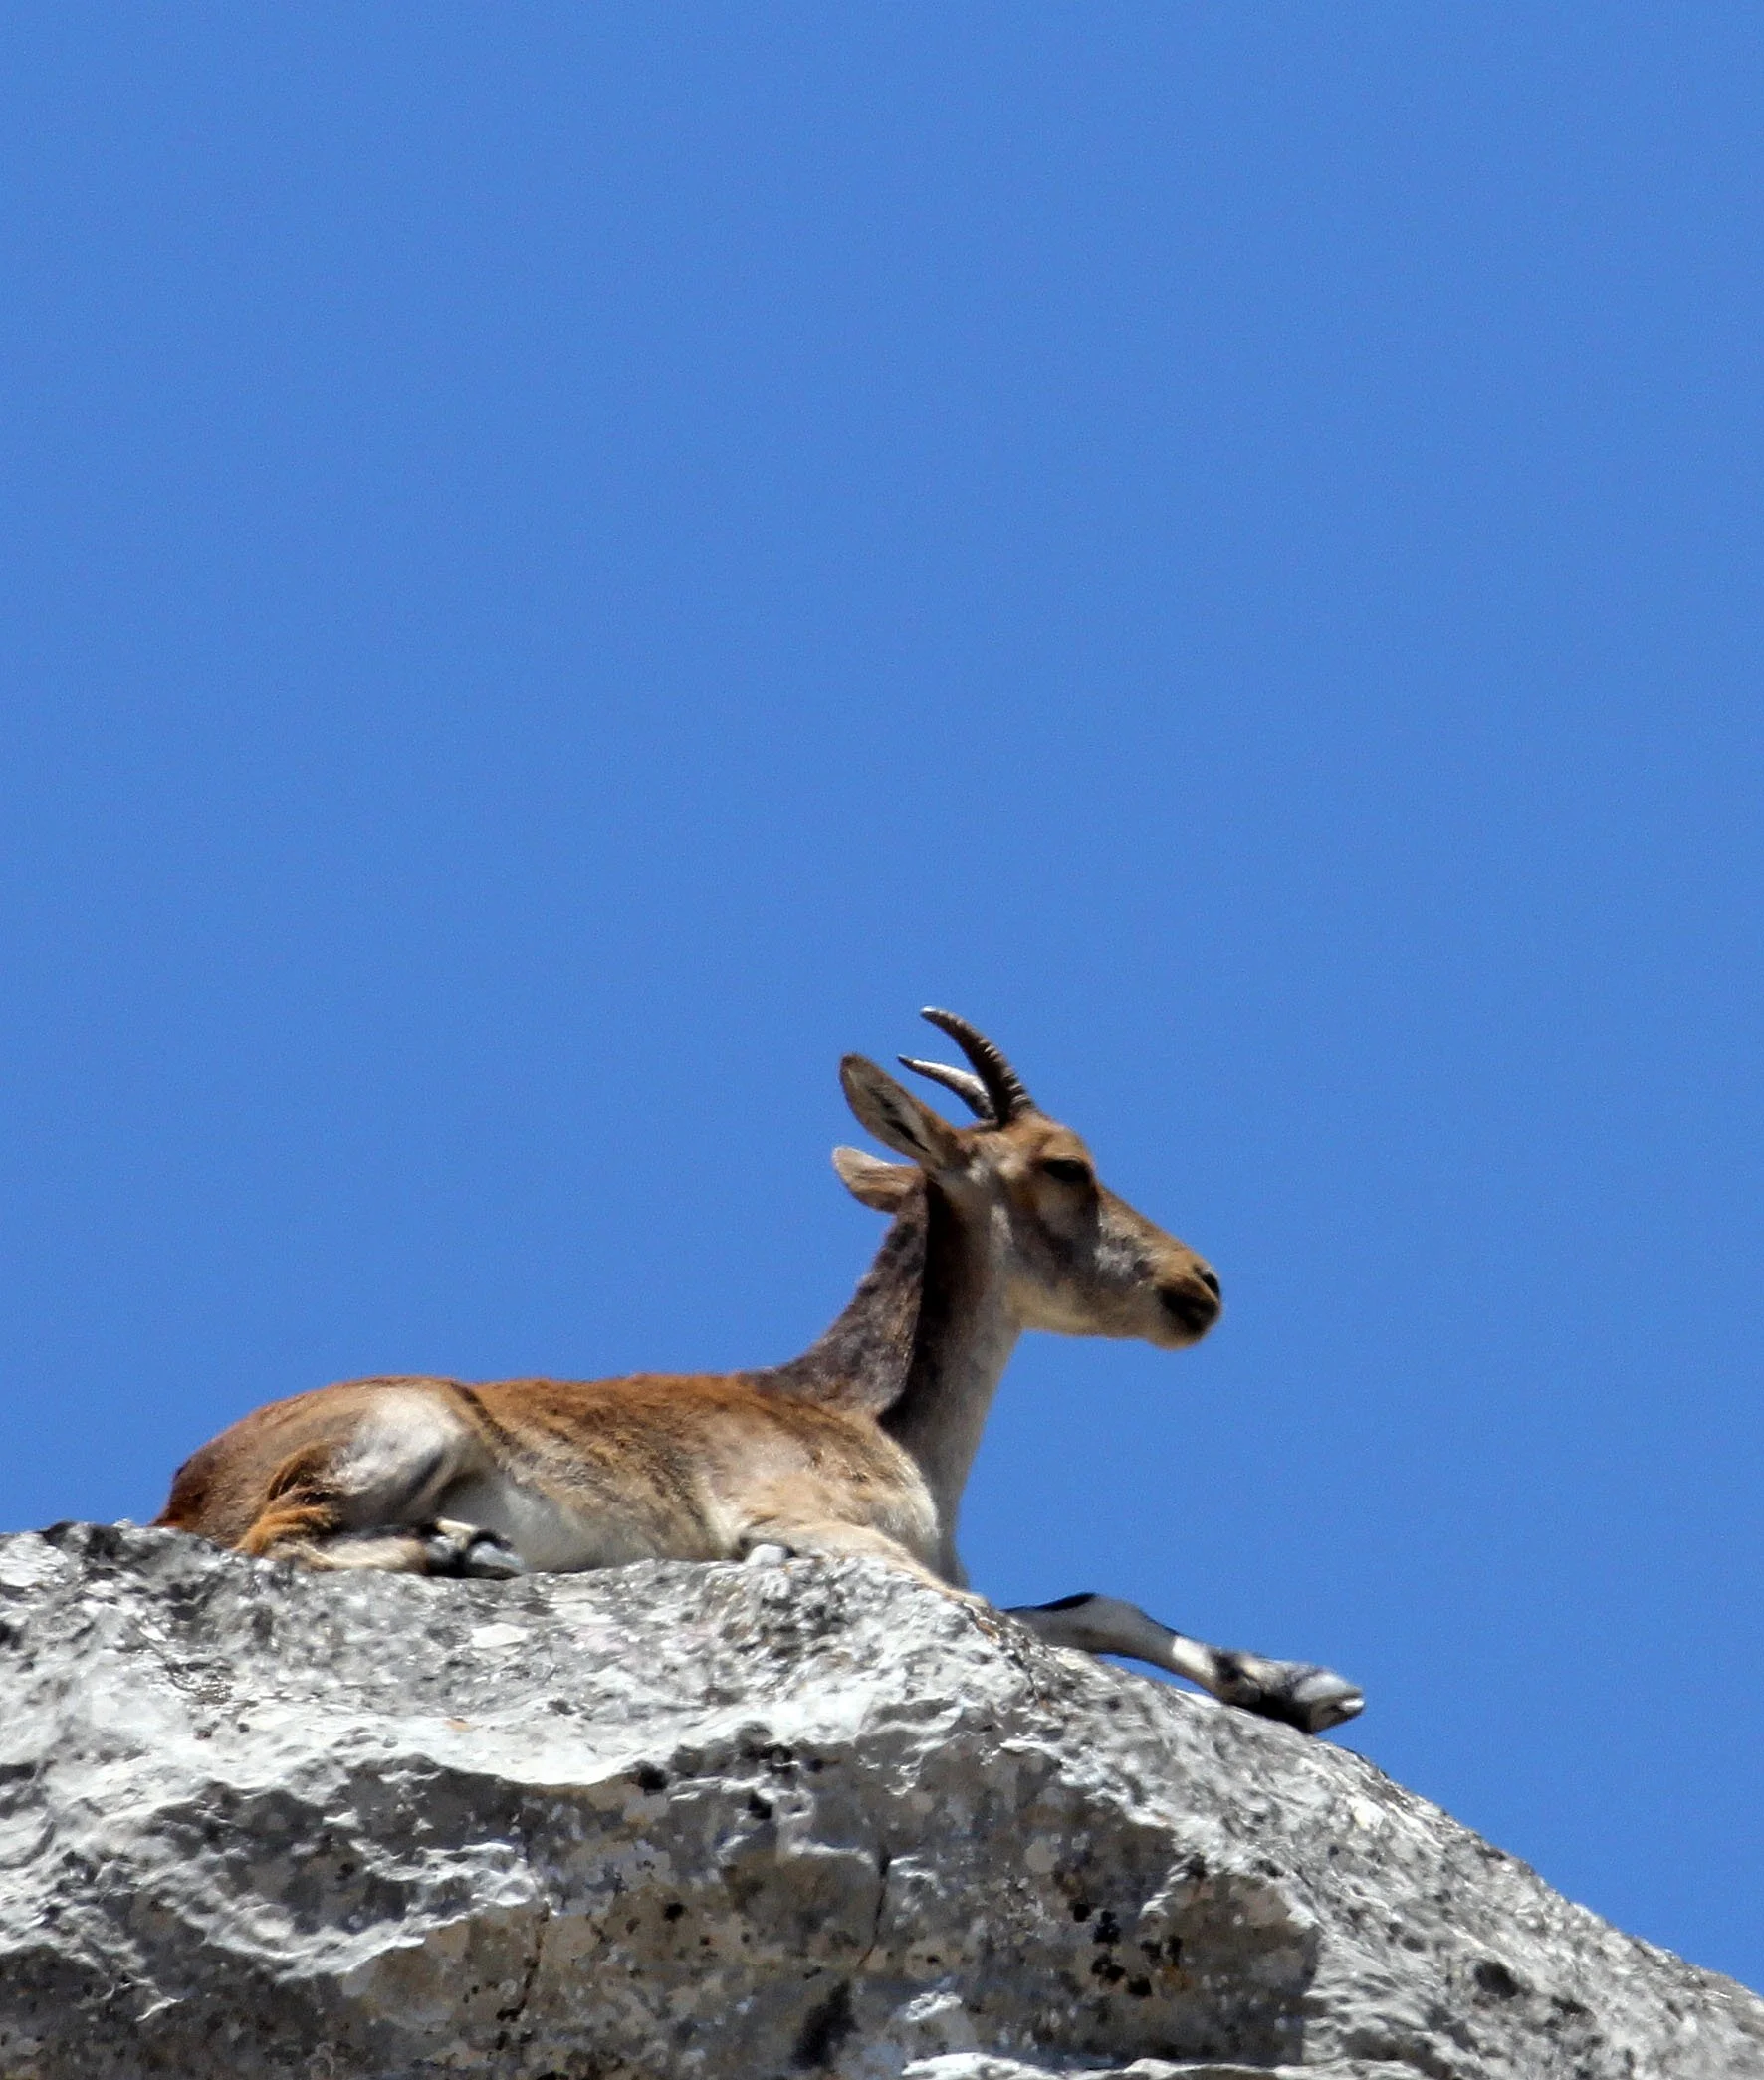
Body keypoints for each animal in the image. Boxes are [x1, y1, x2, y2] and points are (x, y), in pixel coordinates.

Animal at [155, 1010, 1363, 1734]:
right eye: (1067, 1164)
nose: (1200, 1283)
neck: (877, 1421)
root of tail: (183, 1492)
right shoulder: (793, 1519)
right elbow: (999, 1617)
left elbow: (1087, 1603)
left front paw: (1301, 1685)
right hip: (412, 1426)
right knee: (275, 1540)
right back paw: (461, 1548)